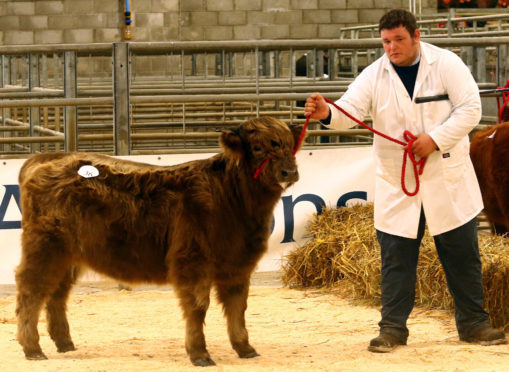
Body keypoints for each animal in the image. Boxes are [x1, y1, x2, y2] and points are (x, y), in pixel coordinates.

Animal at [14, 117, 302, 366]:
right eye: (257, 147)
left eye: (289, 145)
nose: (289, 172)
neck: (232, 199)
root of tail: (48, 158)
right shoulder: (192, 261)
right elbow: (198, 306)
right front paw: (199, 354)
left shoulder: (238, 265)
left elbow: (237, 307)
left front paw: (245, 348)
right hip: (44, 248)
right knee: (32, 290)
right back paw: (33, 348)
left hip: (68, 255)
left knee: (57, 293)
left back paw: (65, 343)